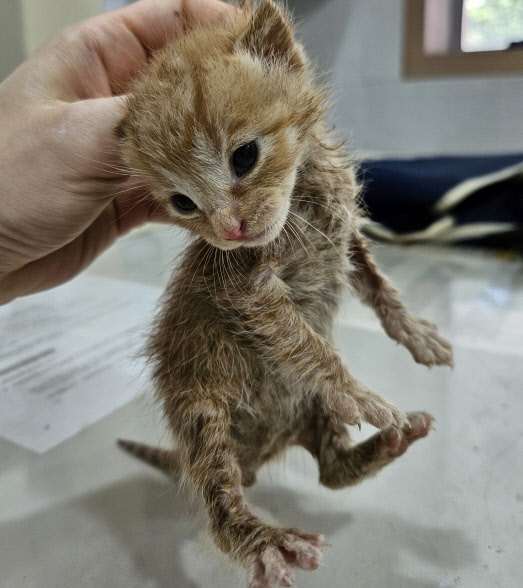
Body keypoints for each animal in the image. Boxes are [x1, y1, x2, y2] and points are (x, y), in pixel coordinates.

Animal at [116, 2, 452, 584]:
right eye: (182, 203)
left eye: (244, 157)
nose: (228, 230)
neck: (305, 193)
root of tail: (259, 455)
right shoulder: (245, 286)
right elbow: (304, 343)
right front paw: (358, 391)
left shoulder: (346, 236)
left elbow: (379, 285)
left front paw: (416, 334)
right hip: (200, 407)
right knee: (220, 501)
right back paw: (264, 543)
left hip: (307, 409)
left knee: (331, 472)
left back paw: (392, 440)